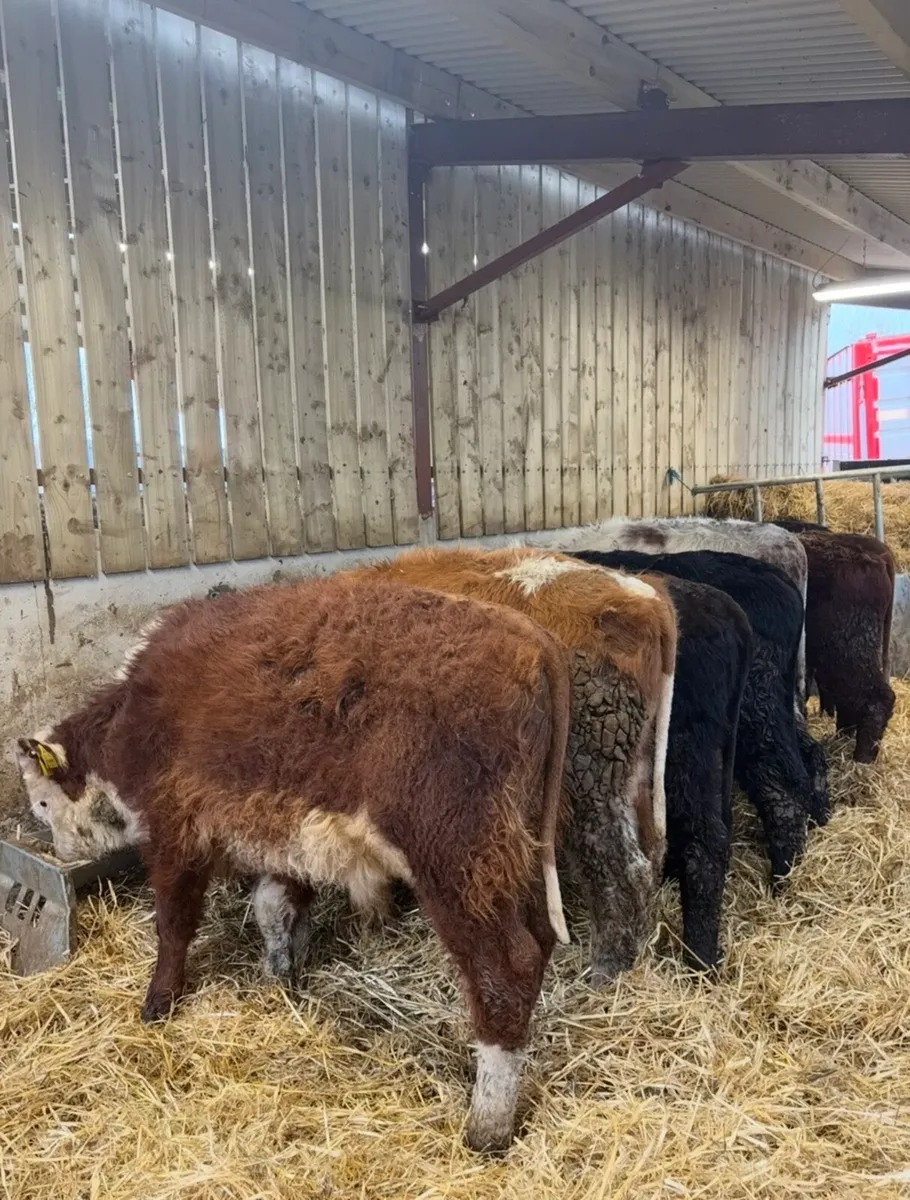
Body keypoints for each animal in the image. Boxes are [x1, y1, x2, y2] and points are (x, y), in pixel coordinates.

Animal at [15, 574, 574, 1152]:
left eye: (41, 804)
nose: (62, 853)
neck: (132, 713)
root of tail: (528, 636)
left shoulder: (173, 831)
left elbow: (174, 926)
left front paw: (159, 1003)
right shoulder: (285, 835)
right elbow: (274, 906)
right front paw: (282, 973)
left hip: (455, 856)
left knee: (508, 966)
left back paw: (487, 1125)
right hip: (514, 849)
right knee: (539, 940)